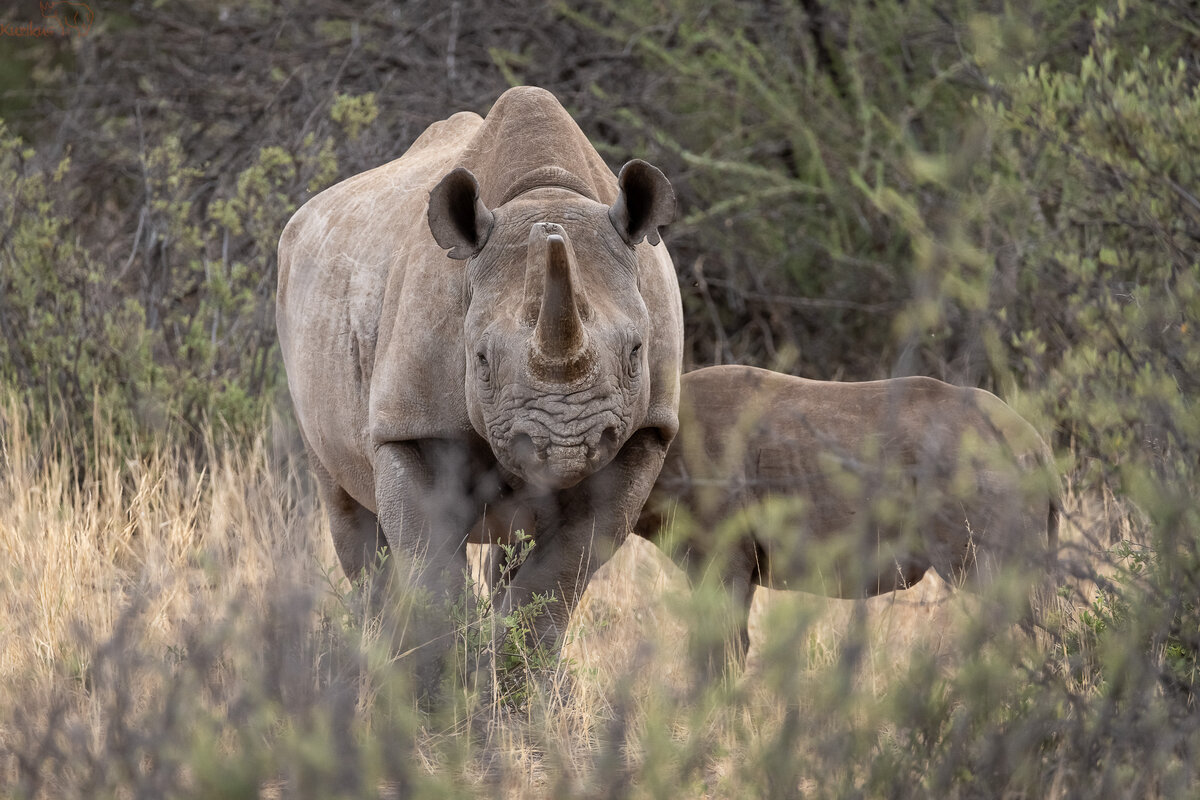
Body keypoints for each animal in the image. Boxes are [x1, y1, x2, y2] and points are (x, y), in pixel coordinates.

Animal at [276, 87, 682, 687]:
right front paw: (451, 690)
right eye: (481, 361)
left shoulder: (644, 433)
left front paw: (517, 689)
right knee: (348, 510)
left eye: (636, 353)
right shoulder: (410, 427)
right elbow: (433, 571)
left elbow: (560, 576)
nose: (567, 447)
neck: (546, 191)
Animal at [480, 365, 1059, 675]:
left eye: (519, 484)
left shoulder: (723, 567)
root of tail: (1035, 444)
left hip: (980, 538)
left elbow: (720, 654)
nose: (494, 559)